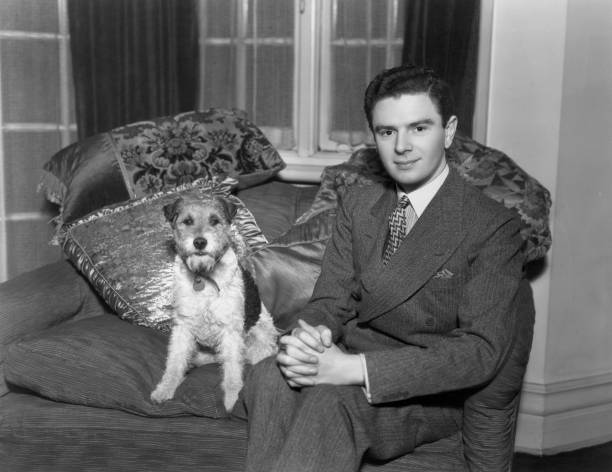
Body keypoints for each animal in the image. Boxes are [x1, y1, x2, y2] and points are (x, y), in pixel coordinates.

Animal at [150, 194, 278, 411]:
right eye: (187, 221)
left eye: (215, 221)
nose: (200, 242)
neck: (202, 276)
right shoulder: (183, 326)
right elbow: (174, 362)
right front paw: (164, 390)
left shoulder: (230, 330)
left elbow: (232, 371)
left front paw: (232, 400)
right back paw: (194, 361)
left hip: (259, 337)